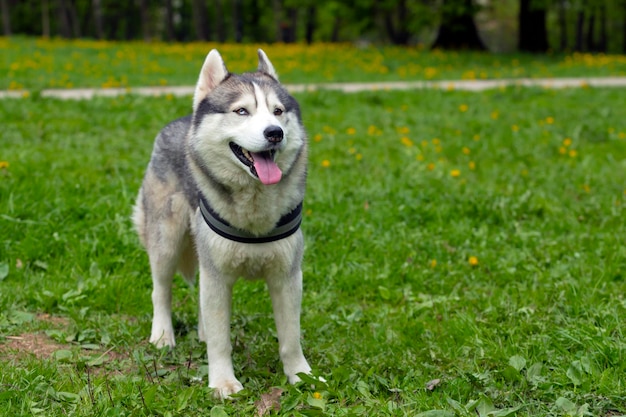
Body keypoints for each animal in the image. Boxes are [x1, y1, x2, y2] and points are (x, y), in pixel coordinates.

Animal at [133, 48, 314, 396]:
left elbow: (291, 336)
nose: (275, 132)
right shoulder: (216, 274)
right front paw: (222, 381)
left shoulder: (287, 276)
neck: (254, 210)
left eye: (278, 111)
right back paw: (162, 335)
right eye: (242, 111)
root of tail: (182, 121)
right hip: (166, 241)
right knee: (160, 291)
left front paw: (301, 375)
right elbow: (220, 341)